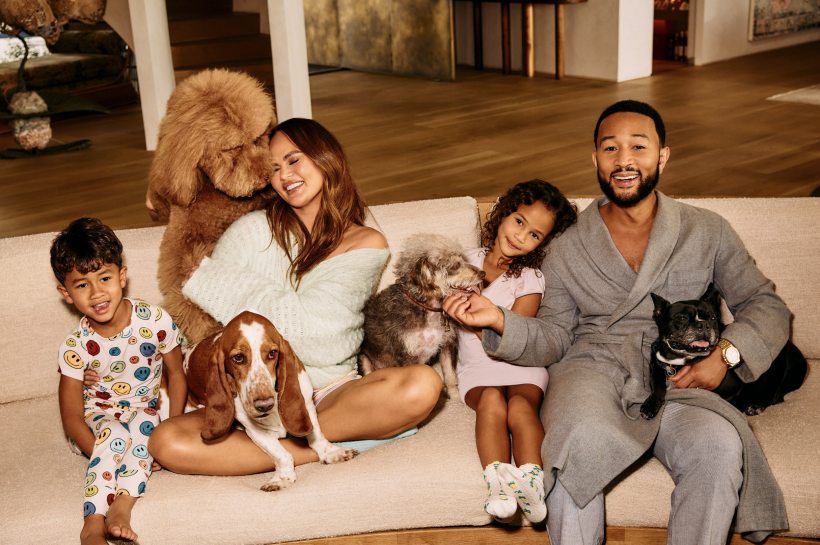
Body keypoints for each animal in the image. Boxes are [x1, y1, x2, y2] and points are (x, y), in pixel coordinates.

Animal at [358, 232, 480, 398]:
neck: (428, 309)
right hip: (364, 360)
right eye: (455, 265)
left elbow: (450, 377)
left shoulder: (447, 345)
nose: (483, 273)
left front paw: (456, 399)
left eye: (463, 260)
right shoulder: (407, 357)